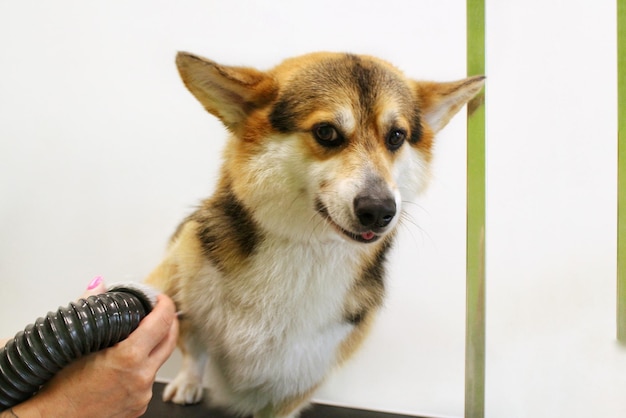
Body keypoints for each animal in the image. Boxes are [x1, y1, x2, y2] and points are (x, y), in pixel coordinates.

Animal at [146, 51, 482, 418]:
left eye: (396, 136)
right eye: (326, 132)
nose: (380, 211)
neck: (308, 249)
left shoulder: (306, 370)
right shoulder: (180, 289)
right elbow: (191, 344)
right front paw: (186, 378)